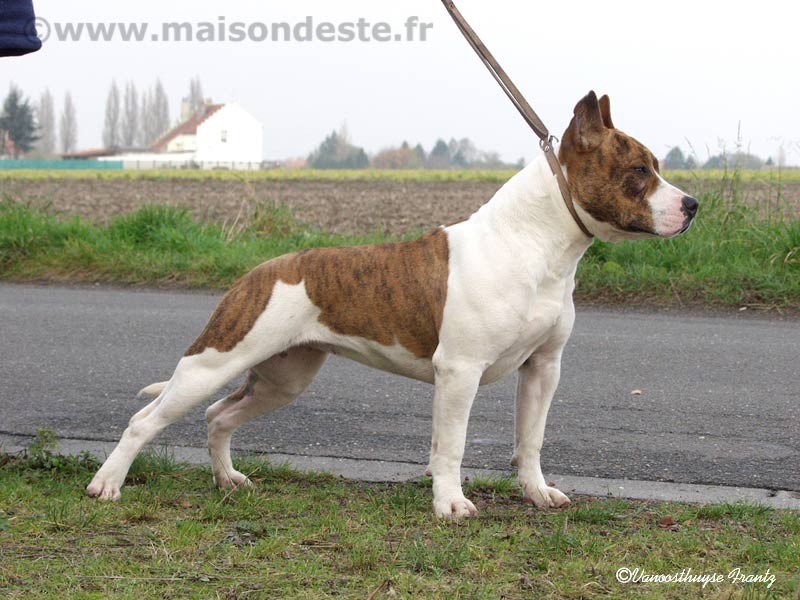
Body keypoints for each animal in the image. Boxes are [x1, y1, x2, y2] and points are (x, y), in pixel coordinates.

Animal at [87, 91, 698, 518]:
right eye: (639, 172)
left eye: (657, 166)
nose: (692, 204)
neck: (536, 242)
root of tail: (259, 271)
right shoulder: (460, 372)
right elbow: (450, 445)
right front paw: (450, 504)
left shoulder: (543, 368)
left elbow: (531, 440)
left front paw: (538, 493)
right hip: (213, 362)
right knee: (145, 420)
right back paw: (107, 485)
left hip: (284, 377)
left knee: (219, 416)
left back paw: (227, 481)